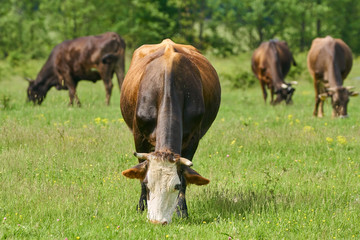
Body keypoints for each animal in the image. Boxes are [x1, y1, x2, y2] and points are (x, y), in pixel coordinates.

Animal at [121, 38, 221, 224]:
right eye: (148, 184)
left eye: (176, 186)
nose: (157, 221)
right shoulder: (138, 136)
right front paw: (141, 207)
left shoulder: (193, 138)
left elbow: (185, 176)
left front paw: (182, 211)